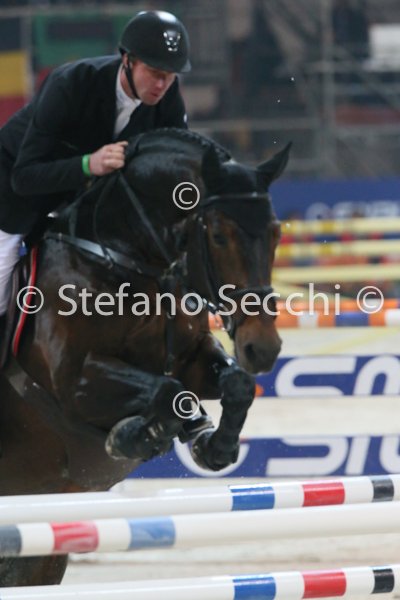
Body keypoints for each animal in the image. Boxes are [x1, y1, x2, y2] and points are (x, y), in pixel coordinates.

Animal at [0, 128, 289, 586]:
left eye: (277, 233)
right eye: (219, 235)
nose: (261, 348)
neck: (126, 257)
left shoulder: (191, 356)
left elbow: (232, 385)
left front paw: (213, 446)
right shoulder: (73, 381)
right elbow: (165, 392)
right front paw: (130, 437)